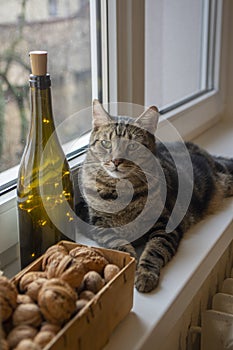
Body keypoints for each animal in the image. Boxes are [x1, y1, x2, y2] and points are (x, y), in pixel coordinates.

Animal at [80, 99, 233, 292]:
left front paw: (145, 274)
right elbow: (115, 242)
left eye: (133, 146)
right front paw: (128, 259)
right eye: (106, 143)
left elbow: (155, 249)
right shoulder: (97, 224)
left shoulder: (165, 224)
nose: (116, 161)